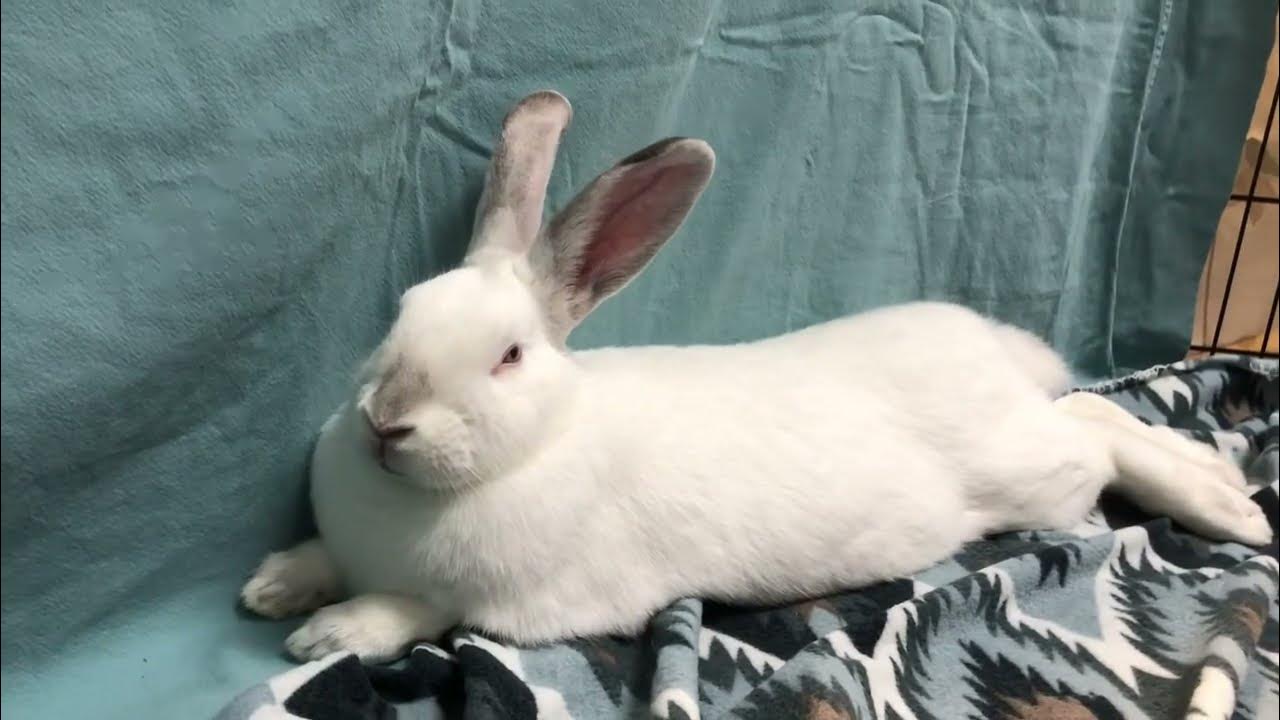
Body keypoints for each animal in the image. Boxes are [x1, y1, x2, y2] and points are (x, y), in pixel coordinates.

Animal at [242, 90, 1272, 669]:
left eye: (509, 356)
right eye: (402, 311)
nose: (386, 422)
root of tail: (996, 350)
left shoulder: (507, 602)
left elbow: (416, 609)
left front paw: (328, 636)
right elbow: (325, 559)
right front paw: (274, 585)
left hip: (1032, 473)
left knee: (1099, 433)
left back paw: (1229, 509)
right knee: (1105, 414)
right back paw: (1224, 484)